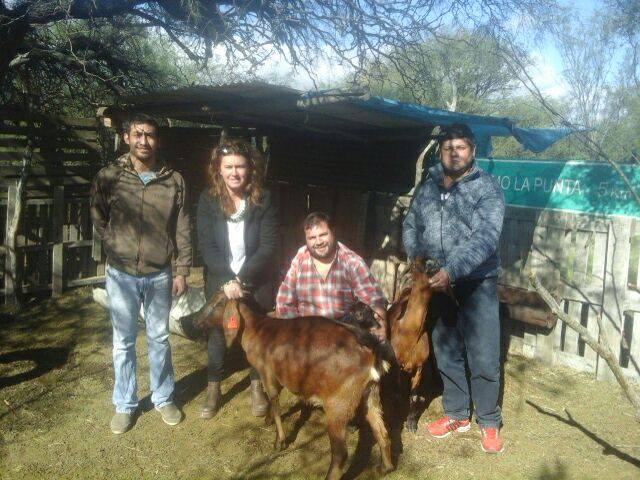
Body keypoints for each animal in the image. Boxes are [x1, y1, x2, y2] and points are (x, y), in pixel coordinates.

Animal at [195, 296, 396, 480]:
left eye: (215, 303)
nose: (196, 322)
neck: (256, 329)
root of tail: (372, 351)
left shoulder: (268, 373)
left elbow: (274, 400)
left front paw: (279, 442)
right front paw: (268, 419)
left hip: (338, 403)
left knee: (341, 453)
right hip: (371, 393)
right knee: (383, 433)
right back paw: (385, 468)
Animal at [384, 256, 440, 434]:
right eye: (422, 265)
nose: (437, 265)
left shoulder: (420, 366)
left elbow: (414, 396)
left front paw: (412, 422)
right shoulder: (398, 366)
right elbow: (399, 391)